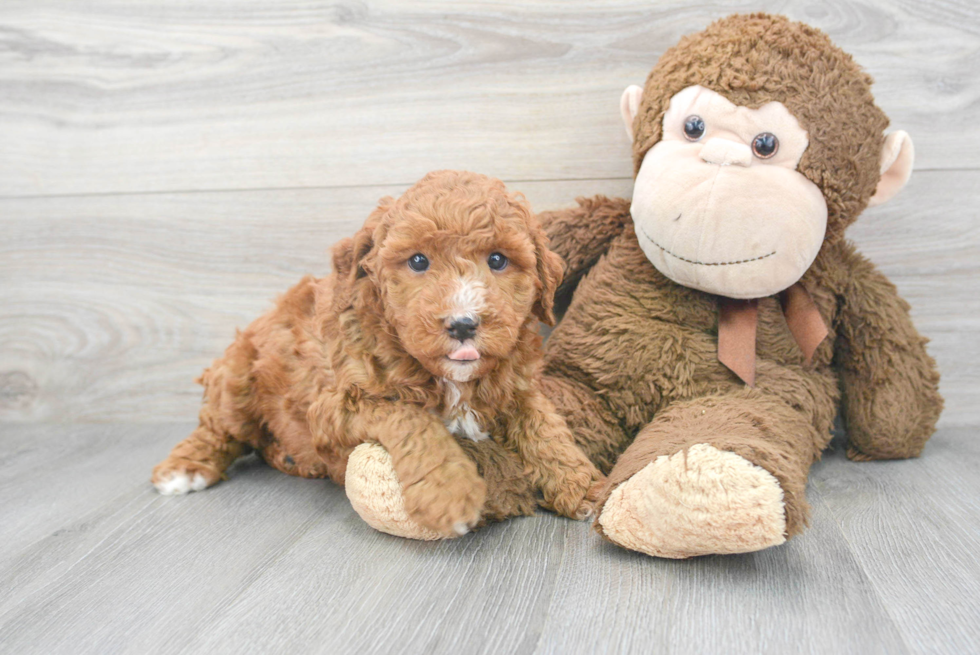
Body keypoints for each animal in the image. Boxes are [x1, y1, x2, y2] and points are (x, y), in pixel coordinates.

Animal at [153, 170, 600, 540]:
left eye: (497, 260)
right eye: (418, 261)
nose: (462, 324)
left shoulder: (516, 385)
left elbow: (545, 428)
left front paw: (582, 485)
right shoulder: (338, 404)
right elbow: (414, 420)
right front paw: (449, 493)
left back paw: (291, 457)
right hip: (238, 380)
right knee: (218, 429)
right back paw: (184, 470)